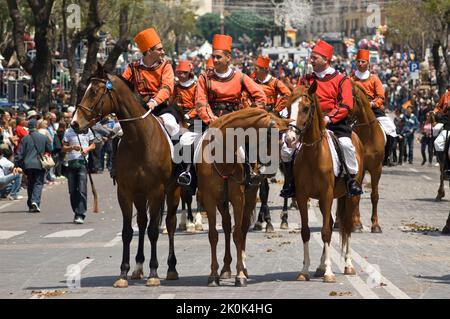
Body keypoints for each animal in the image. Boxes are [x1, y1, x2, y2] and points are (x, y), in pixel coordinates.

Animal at [71, 63, 180, 288]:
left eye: (94, 92)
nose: (75, 124)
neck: (140, 140)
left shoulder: (156, 191)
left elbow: (154, 231)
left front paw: (154, 273)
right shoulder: (126, 191)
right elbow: (128, 232)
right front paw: (123, 272)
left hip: (173, 190)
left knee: (170, 223)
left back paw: (171, 268)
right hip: (140, 195)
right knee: (142, 222)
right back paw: (138, 267)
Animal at [196, 108, 288, 288]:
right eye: (270, 139)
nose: (271, 171)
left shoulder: (239, 198)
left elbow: (238, 234)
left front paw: (240, 275)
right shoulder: (210, 200)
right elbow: (213, 235)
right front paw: (213, 275)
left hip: (249, 198)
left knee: (243, 229)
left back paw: (243, 268)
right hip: (222, 203)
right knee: (225, 227)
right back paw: (225, 268)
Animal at [286, 83, 364, 284]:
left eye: (306, 108)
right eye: (289, 107)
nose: (289, 139)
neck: (313, 154)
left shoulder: (327, 195)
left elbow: (327, 232)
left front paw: (329, 272)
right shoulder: (303, 196)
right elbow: (307, 231)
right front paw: (305, 270)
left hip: (350, 198)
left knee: (347, 227)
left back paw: (348, 265)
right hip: (323, 202)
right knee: (329, 222)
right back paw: (320, 266)